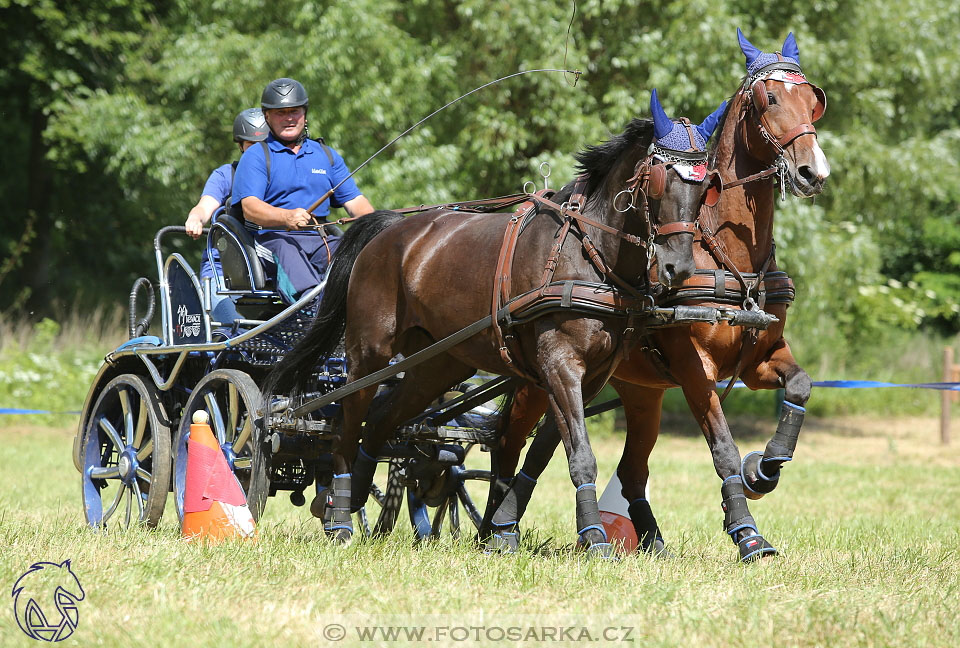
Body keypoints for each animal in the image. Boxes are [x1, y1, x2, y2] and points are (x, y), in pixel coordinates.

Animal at [266, 93, 724, 556]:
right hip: (369, 353)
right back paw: (340, 515)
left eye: (706, 186)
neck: (586, 253)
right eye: (660, 179)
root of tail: (391, 227)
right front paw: (594, 537)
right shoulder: (559, 365)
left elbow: (547, 451)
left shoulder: (592, 375)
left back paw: (361, 503)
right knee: (347, 423)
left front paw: (513, 529)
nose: (679, 268)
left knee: (379, 423)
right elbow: (580, 455)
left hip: (436, 366)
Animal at [492, 29, 828, 560]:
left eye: (814, 101)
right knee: (509, 443)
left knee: (628, 471)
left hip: (640, 392)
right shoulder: (694, 369)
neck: (727, 253)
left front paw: (765, 469)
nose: (813, 172)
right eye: (770, 99)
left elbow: (800, 385)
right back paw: (496, 527)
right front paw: (747, 532)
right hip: (537, 377)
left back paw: (651, 539)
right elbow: (723, 447)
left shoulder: (761, 357)